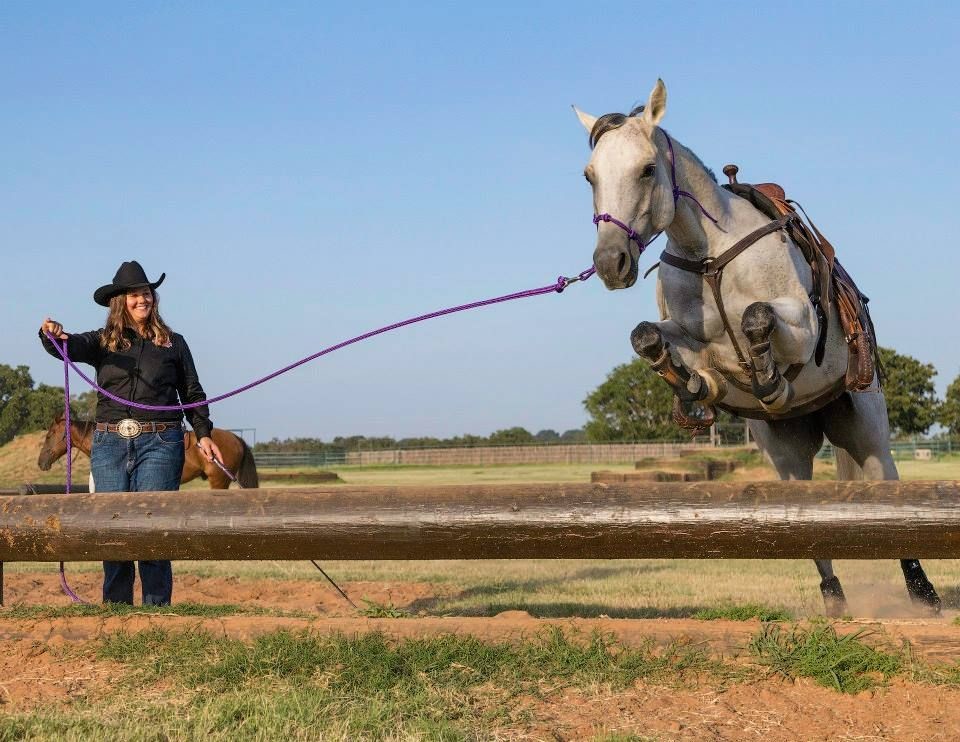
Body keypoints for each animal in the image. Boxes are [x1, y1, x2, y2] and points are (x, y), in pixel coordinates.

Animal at [573, 79, 940, 616]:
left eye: (646, 169)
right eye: (590, 175)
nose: (610, 262)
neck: (709, 255)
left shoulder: (803, 325)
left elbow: (756, 317)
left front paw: (765, 377)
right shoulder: (683, 333)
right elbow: (649, 336)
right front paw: (695, 388)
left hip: (867, 428)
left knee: (886, 492)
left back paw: (923, 594)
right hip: (785, 452)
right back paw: (835, 603)